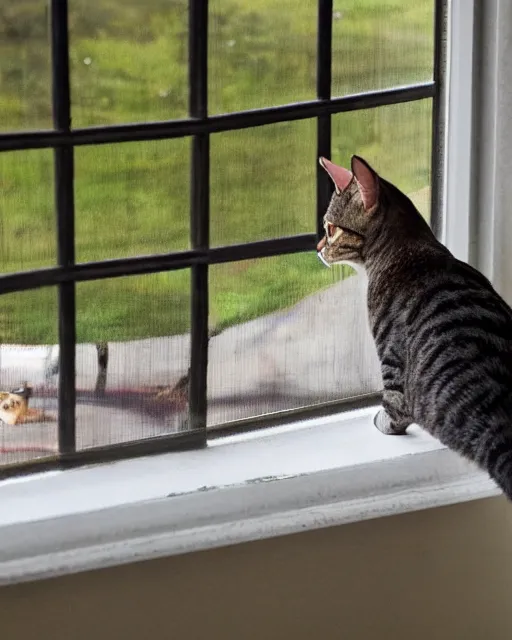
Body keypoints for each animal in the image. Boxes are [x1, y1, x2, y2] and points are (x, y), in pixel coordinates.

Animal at [318, 155, 512, 500]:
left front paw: (383, 422)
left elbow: (394, 405)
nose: (317, 247)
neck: (412, 246)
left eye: (331, 229)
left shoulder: (390, 356)